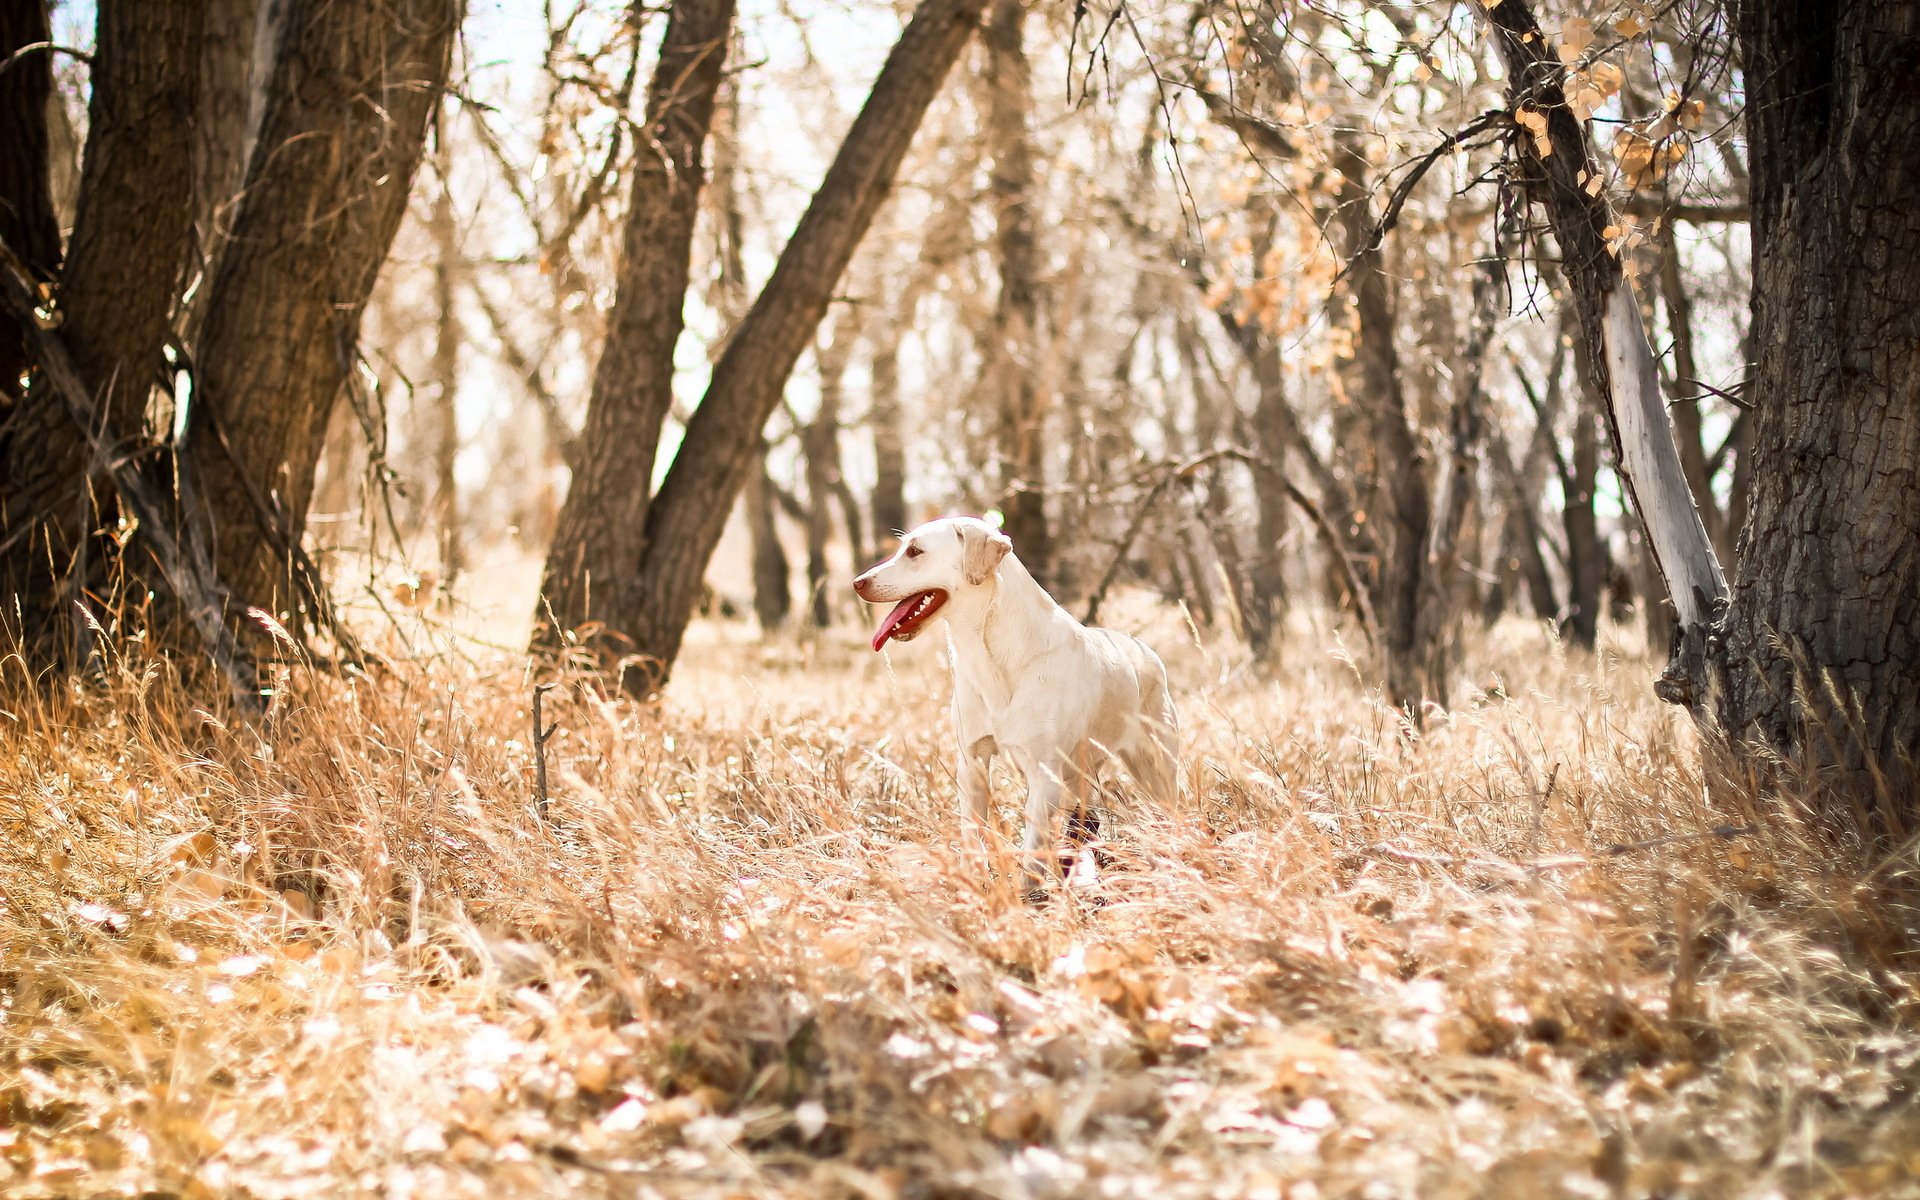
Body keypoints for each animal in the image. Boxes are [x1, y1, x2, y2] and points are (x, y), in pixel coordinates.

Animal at [852, 514, 1175, 890]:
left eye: (915, 552)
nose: (857, 583)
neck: (991, 656)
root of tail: (1145, 650)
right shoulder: (972, 763)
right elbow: (972, 836)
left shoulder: (1043, 776)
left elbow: (1032, 853)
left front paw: (1026, 896)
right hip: (1080, 770)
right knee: (1084, 822)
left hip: (1156, 769)